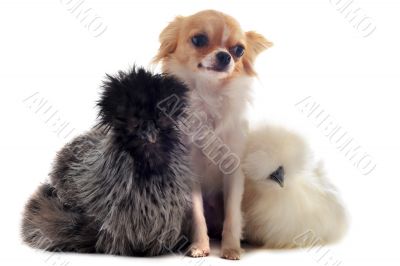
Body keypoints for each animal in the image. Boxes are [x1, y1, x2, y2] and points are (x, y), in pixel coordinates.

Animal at [153, 10, 272, 260]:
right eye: (199, 40)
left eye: (239, 50)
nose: (225, 56)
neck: (209, 95)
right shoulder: (191, 173)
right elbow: (198, 215)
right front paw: (199, 246)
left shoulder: (234, 172)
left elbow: (233, 213)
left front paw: (231, 248)